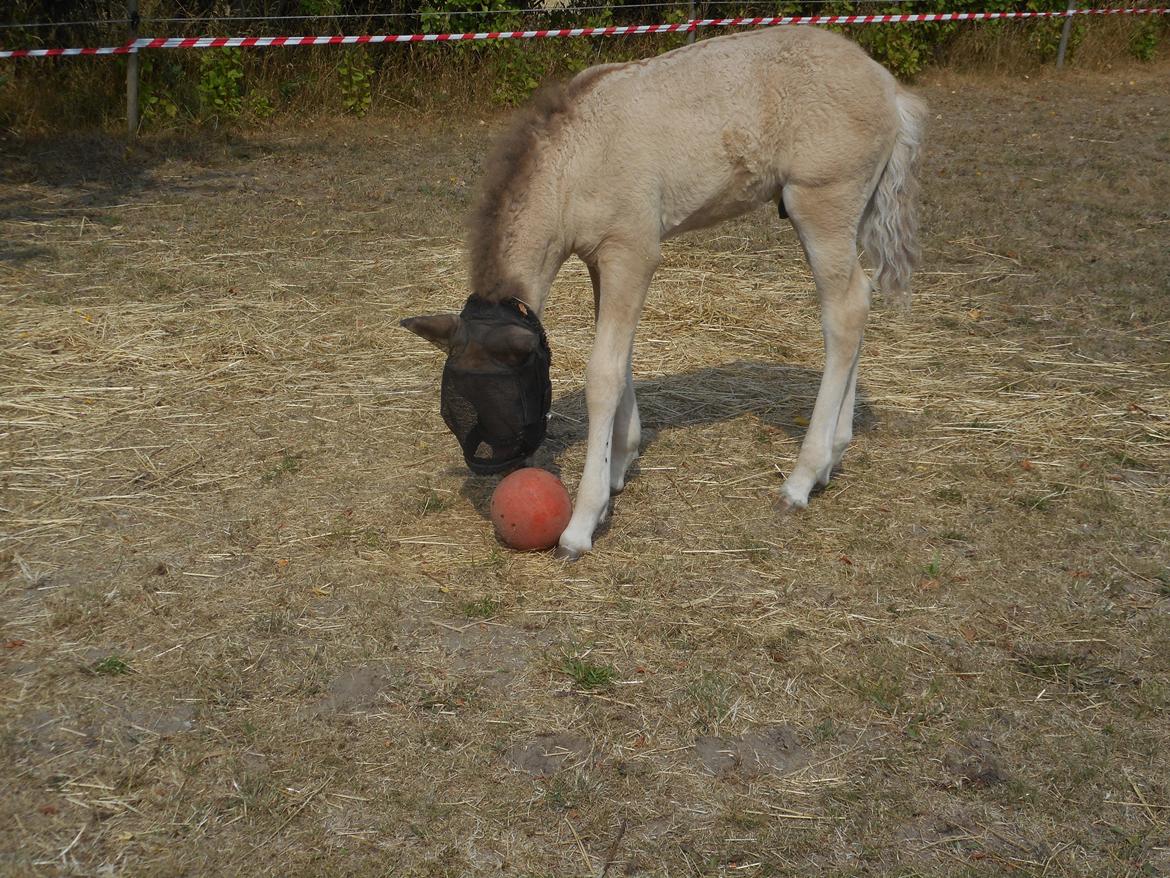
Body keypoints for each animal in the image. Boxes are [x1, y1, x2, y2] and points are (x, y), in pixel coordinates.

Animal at [402, 29, 921, 564]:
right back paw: (834, 455)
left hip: (819, 204)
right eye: (452, 415)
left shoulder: (632, 253)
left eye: (501, 406)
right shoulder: (601, 262)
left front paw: (582, 522)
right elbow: (620, 358)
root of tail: (888, 87)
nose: (499, 477)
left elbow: (603, 375)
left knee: (844, 311)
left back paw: (802, 478)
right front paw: (618, 467)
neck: (576, 159)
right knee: (858, 301)